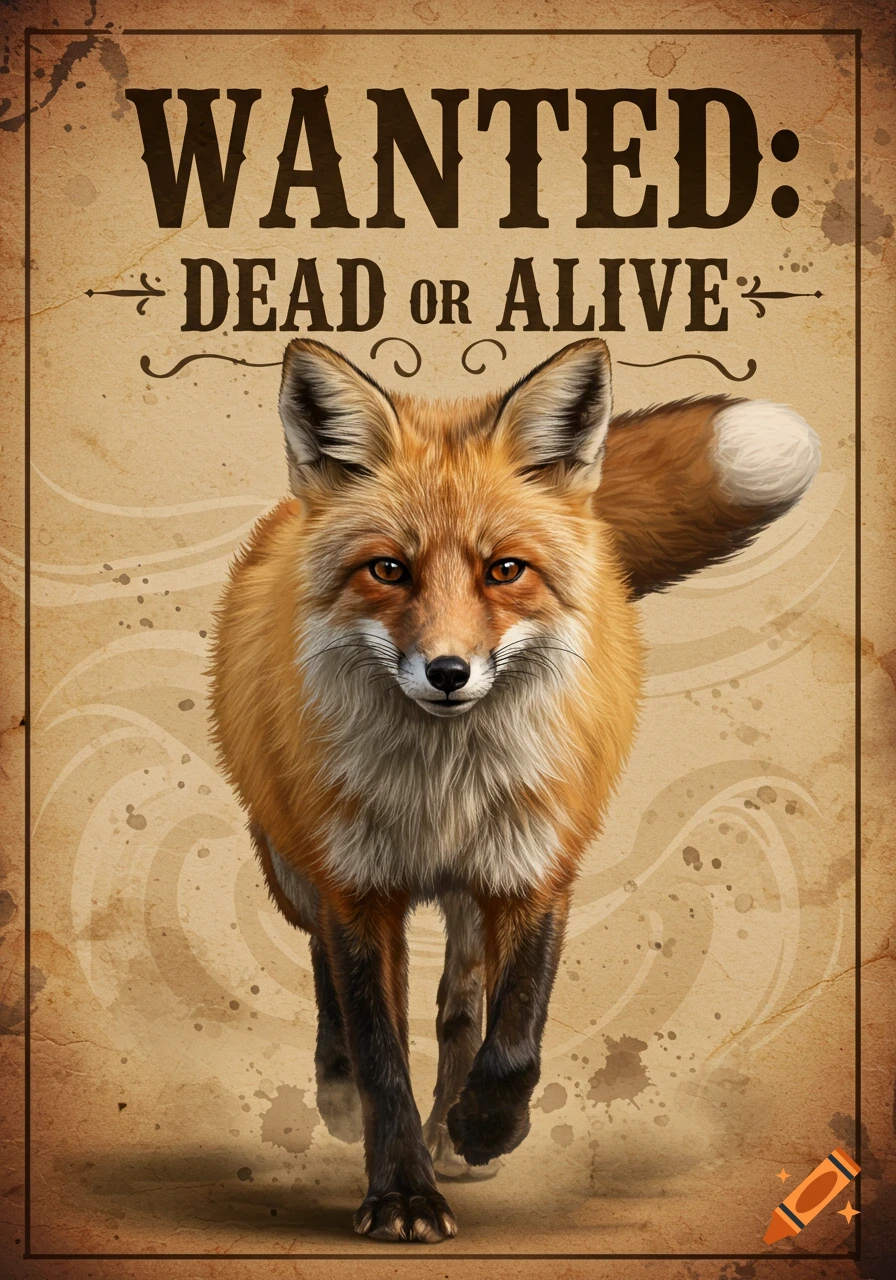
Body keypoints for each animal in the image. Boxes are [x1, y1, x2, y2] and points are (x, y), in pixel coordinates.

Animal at [208, 336, 820, 1243]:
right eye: (388, 569)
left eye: (505, 570)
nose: (448, 672)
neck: (442, 790)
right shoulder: (357, 887)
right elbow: (382, 1054)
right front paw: (401, 1193)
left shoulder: (535, 866)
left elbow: (517, 1033)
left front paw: (485, 1126)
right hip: (290, 863)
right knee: (327, 969)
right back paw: (338, 1084)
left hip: (470, 898)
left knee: (461, 1008)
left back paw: (453, 1128)